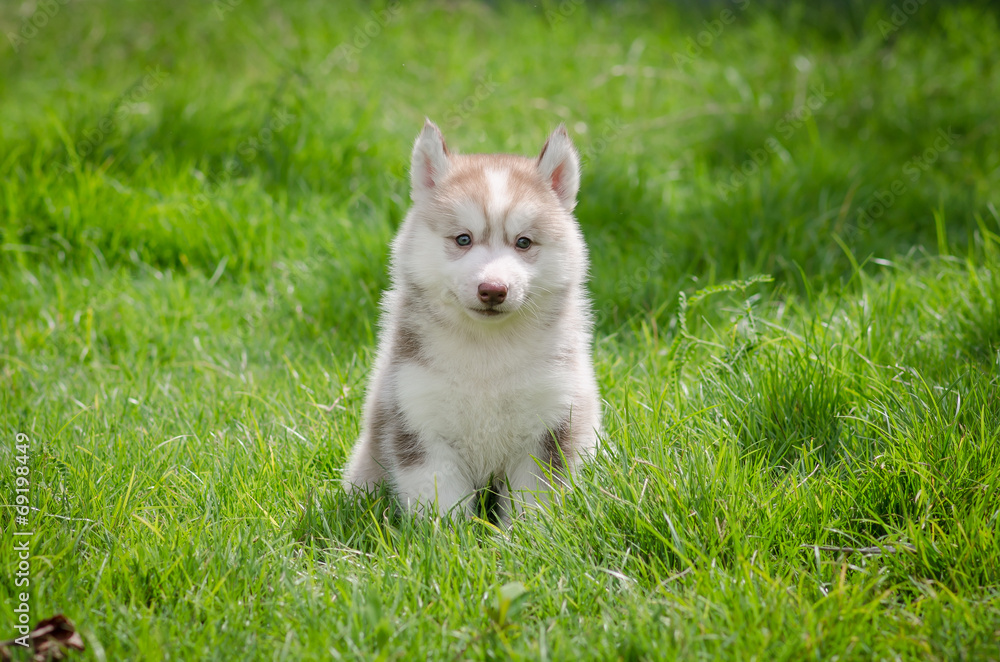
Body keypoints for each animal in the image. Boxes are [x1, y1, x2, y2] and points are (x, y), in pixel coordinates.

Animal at [344, 122, 596, 520]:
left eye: (523, 242)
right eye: (463, 239)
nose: (493, 289)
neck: (487, 353)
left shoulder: (550, 424)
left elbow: (533, 503)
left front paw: (528, 534)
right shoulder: (420, 423)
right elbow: (442, 504)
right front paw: (448, 536)